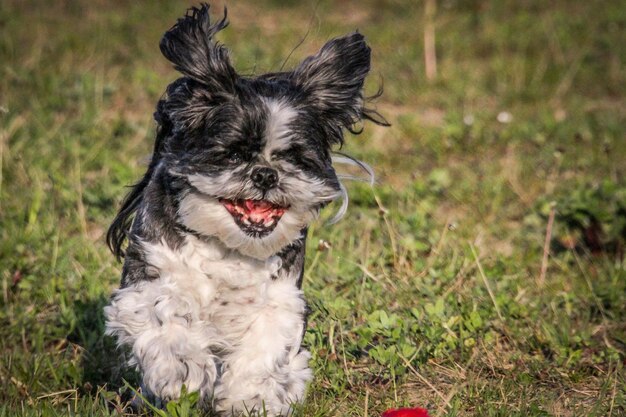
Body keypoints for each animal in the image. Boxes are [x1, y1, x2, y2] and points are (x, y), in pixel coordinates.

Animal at [103, 4, 380, 416]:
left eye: (294, 158)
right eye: (233, 154)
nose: (265, 174)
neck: (229, 246)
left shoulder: (279, 301)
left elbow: (262, 353)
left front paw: (251, 399)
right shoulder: (147, 277)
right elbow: (165, 314)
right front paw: (183, 370)